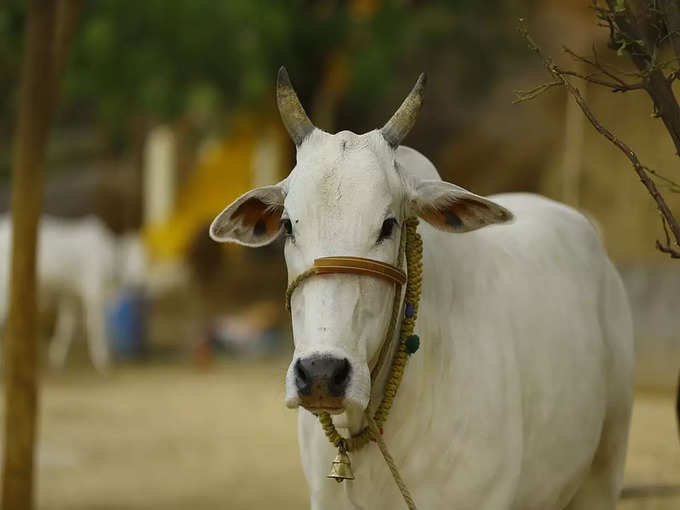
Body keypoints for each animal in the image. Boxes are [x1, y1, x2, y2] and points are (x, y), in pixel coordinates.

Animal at [0, 213, 147, 372]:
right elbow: (96, 327)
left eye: (145, 258)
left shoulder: (70, 295)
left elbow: (66, 325)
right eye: (129, 258)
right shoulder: (93, 293)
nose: (141, 284)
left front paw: (56, 358)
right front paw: (102, 361)